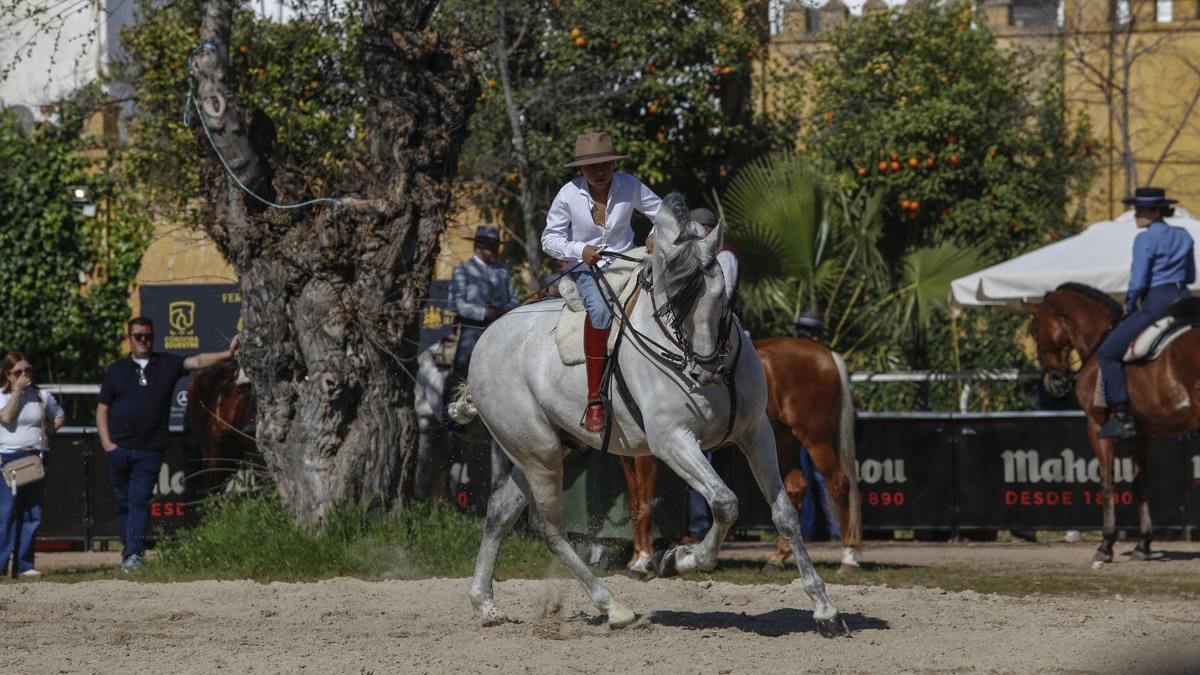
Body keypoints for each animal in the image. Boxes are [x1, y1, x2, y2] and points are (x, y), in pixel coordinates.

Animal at [620, 337, 862, 578]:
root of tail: (826, 353)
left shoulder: (648, 455)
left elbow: (644, 503)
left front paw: (643, 560)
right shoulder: (628, 457)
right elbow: (634, 502)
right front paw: (636, 559)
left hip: (815, 439)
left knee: (839, 484)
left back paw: (848, 558)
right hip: (782, 439)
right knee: (795, 488)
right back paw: (777, 558)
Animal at [1032, 282, 1200, 564]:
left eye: (1034, 332)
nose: (1053, 382)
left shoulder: (1097, 426)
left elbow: (1107, 482)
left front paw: (1105, 545)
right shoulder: (1138, 434)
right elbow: (1140, 483)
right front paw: (1143, 545)